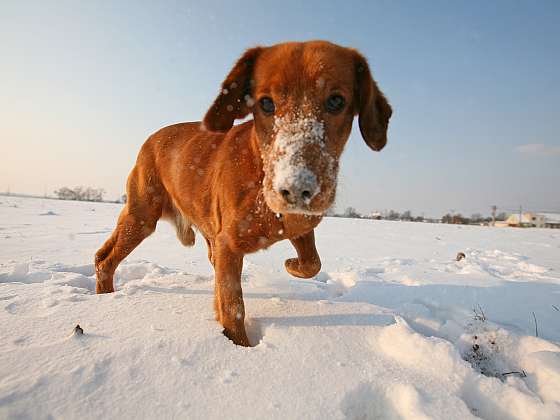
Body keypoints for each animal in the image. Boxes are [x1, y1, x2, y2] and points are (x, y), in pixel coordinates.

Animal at [94, 41, 392, 346]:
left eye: (336, 101)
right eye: (266, 103)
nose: (297, 189)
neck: (260, 175)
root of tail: (149, 139)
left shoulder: (299, 225)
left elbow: (313, 263)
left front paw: (292, 265)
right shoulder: (229, 244)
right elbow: (233, 307)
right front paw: (239, 347)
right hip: (142, 216)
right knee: (106, 260)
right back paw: (105, 299)